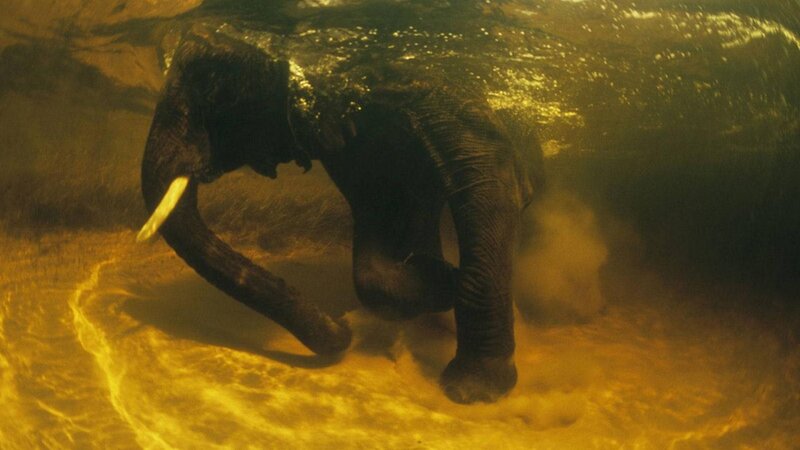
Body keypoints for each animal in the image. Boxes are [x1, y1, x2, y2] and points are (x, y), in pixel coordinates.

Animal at [138, 24, 542, 404]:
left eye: (214, 93)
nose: (344, 331)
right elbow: (378, 215)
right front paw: (437, 280)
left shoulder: (432, 87)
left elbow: (489, 185)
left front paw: (470, 391)